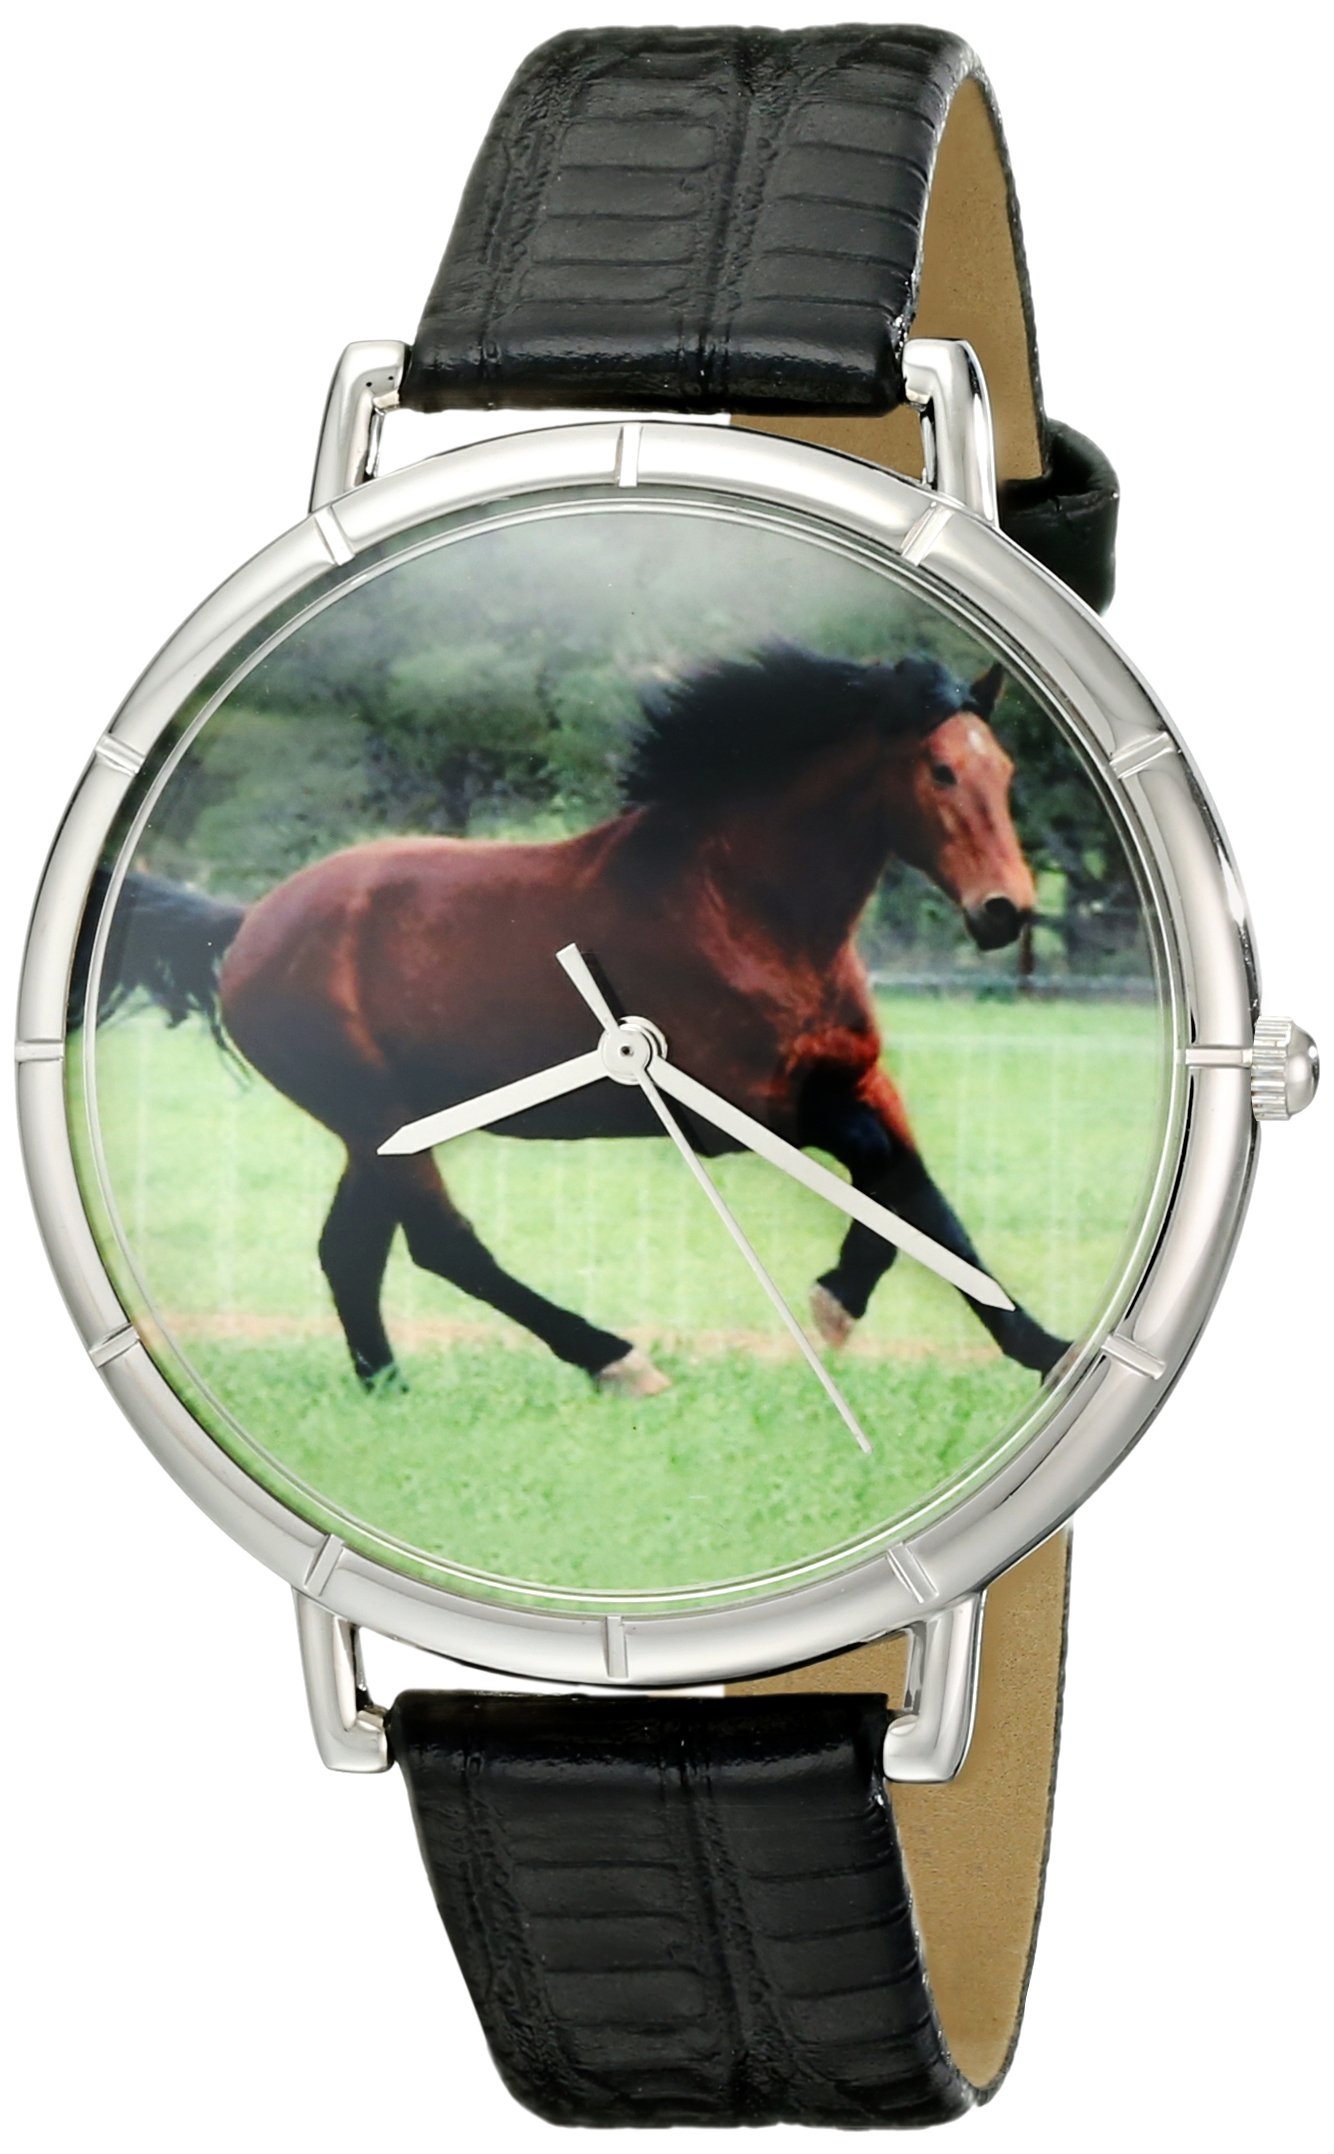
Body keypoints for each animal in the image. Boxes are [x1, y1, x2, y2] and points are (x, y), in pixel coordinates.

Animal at [80, 644, 1068, 1397]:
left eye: (1005, 770)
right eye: (941, 770)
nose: (1005, 911)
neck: (747, 909)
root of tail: (248, 925)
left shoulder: (858, 1078)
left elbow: (923, 1201)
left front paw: (1043, 1350)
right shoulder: (744, 1108)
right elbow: (886, 1180)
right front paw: (837, 1302)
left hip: (382, 1128)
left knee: (350, 1252)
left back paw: (388, 1386)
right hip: (373, 1115)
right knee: (443, 1248)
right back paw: (617, 1362)